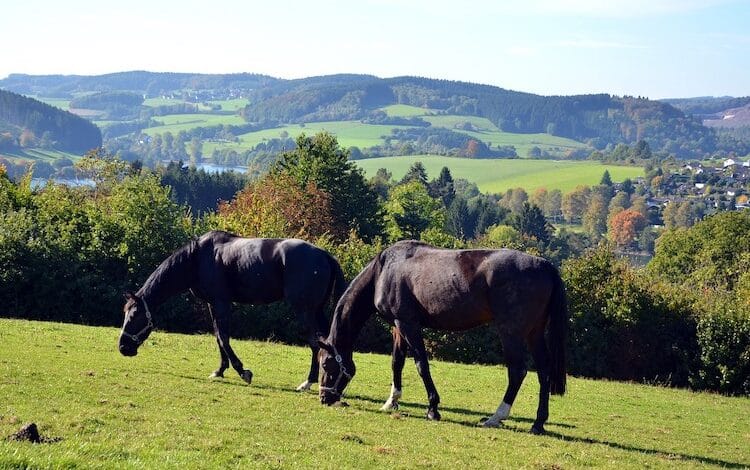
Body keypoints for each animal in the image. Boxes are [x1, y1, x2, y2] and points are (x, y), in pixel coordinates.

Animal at [119, 229, 348, 390]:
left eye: (135, 316)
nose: (123, 348)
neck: (197, 259)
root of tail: (325, 256)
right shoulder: (213, 303)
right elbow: (218, 336)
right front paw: (219, 371)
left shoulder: (221, 302)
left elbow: (223, 337)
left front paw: (242, 371)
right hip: (317, 311)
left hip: (304, 311)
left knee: (315, 343)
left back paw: (308, 382)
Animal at [318, 241, 568, 436]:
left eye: (326, 364)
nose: (324, 398)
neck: (383, 271)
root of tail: (546, 266)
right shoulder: (398, 327)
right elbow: (397, 362)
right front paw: (391, 402)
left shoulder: (408, 324)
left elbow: (421, 365)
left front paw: (432, 408)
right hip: (534, 333)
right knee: (544, 371)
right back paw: (538, 423)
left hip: (511, 332)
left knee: (517, 372)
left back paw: (496, 417)